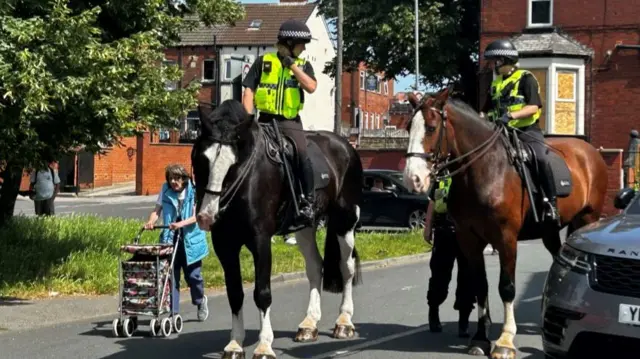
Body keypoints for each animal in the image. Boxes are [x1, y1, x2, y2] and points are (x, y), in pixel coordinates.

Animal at [190, 100, 362, 359]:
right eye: (202, 159)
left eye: (233, 164)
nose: (206, 216)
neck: (246, 179)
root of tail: (344, 144)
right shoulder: (224, 244)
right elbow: (235, 293)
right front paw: (234, 345)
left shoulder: (261, 240)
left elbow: (262, 293)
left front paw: (264, 346)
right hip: (305, 228)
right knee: (315, 267)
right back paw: (309, 324)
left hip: (345, 220)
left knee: (347, 267)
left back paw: (344, 322)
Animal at [402, 88, 608, 359]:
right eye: (408, 127)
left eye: (432, 127)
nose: (412, 179)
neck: (485, 170)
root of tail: (589, 150)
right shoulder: (469, 240)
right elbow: (480, 286)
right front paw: (480, 338)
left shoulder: (506, 239)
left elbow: (506, 287)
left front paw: (505, 340)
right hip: (550, 230)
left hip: (587, 217)